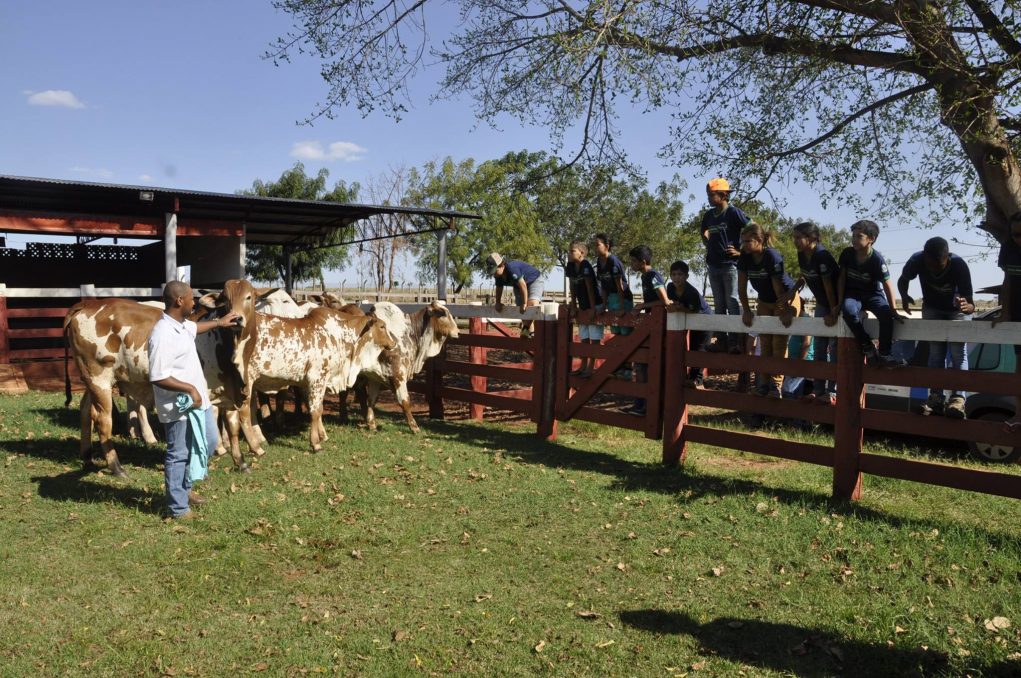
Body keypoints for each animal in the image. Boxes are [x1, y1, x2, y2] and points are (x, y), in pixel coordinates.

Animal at [338, 302, 459, 434]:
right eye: (443, 313)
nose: (457, 331)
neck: (408, 334)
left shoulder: (374, 377)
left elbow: (371, 400)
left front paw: (371, 424)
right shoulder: (398, 375)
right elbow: (405, 401)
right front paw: (414, 427)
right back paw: (344, 418)